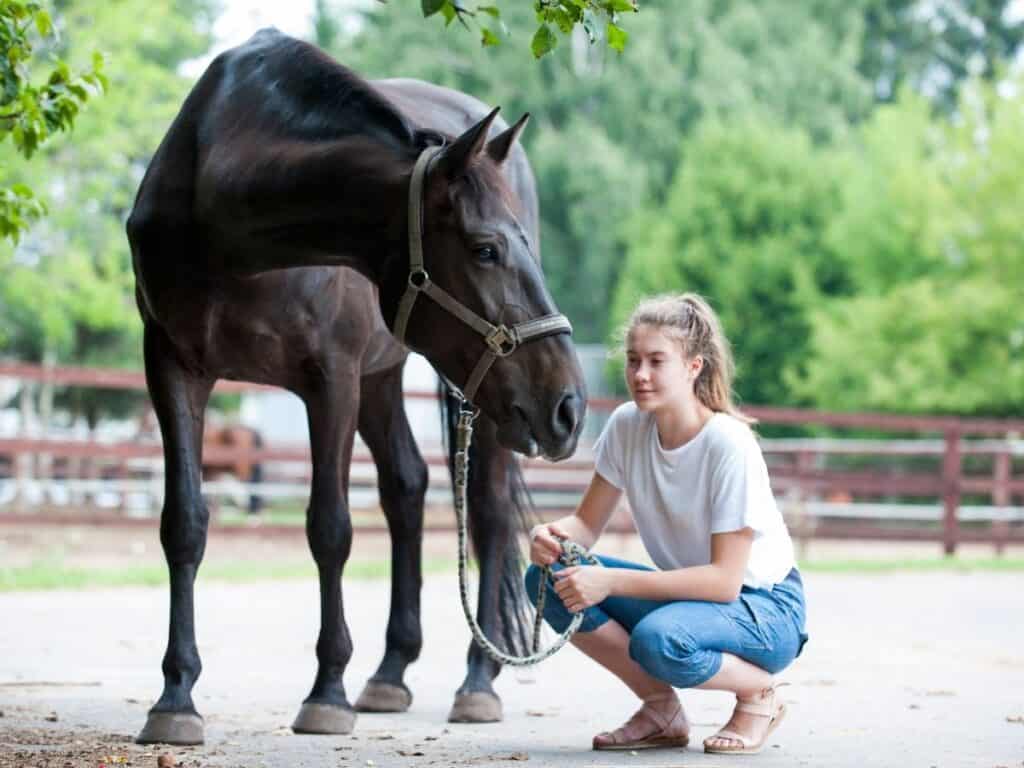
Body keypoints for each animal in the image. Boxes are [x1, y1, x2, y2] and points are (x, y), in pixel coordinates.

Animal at [125, 28, 586, 745]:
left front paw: (326, 691)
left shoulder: (331, 378)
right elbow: (185, 526)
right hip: (385, 377)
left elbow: (331, 529)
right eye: (484, 249)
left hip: (471, 402)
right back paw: (391, 671)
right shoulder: (173, 366)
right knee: (406, 488)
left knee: (483, 511)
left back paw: (477, 681)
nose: (570, 406)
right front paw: (176, 696)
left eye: (523, 247)